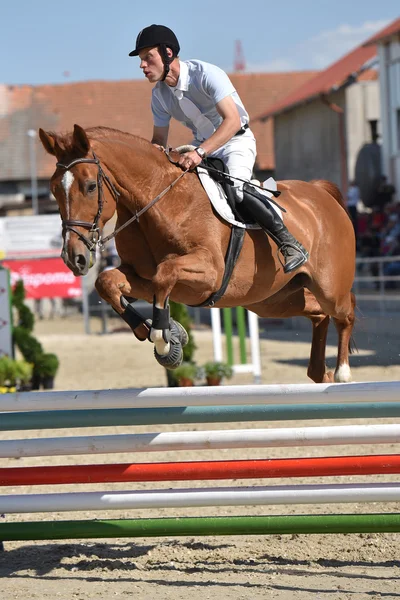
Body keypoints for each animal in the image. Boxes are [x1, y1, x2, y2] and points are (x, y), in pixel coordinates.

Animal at [39, 123, 354, 382]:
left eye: (91, 186)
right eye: (54, 189)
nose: (74, 257)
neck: (159, 202)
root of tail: (320, 192)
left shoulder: (209, 272)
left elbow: (165, 274)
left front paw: (166, 339)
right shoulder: (141, 276)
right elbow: (108, 282)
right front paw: (160, 331)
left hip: (328, 290)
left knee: (344, 312)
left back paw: (341, 371)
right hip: (272, 300)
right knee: (318, 314)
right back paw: (320, 372)